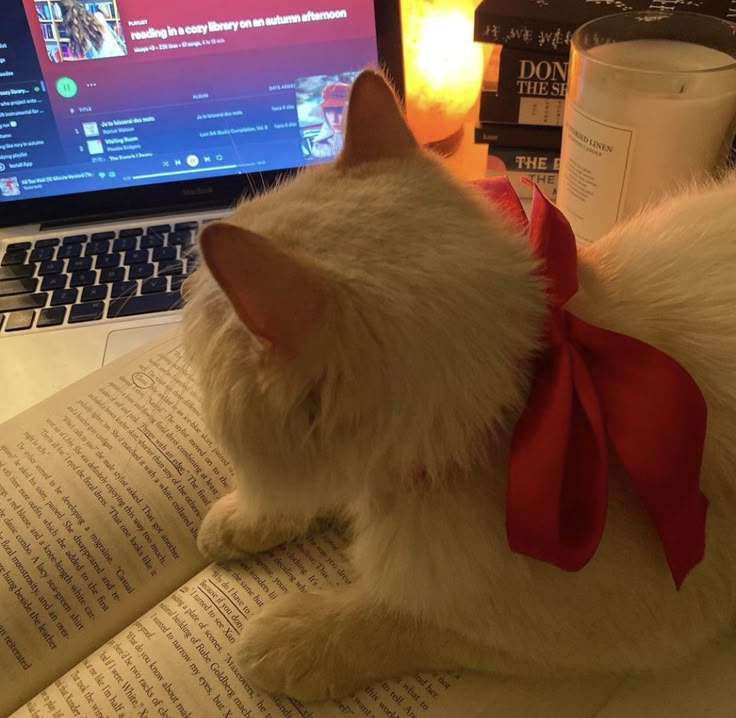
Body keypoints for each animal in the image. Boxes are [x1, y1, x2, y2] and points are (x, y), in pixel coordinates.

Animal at [183, 71, 736, 704]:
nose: (183, 283)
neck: (521, 403)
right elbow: (315, 495)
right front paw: (239, 521)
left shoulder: (635, 626)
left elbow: (402, 618)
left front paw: (290, 641)